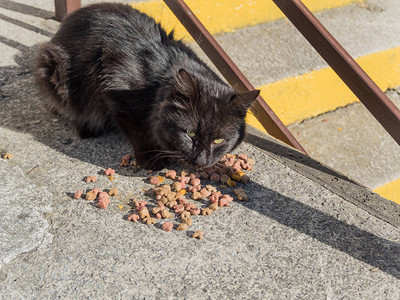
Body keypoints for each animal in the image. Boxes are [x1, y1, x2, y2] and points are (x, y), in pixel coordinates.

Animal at [35, 2, 260, 170]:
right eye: (190, 134)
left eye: (219, 141)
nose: (200, 162)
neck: (155, 86)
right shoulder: (112, 86)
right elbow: (135, 127)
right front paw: (152, 158)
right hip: (57, 70)